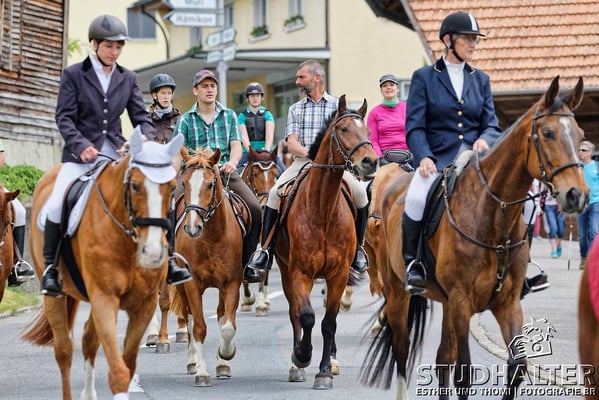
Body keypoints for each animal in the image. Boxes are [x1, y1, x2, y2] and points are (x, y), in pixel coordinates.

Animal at [21, 130, 183, 400]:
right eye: (135, 186)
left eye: (171, 187)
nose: (152, 252)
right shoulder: (105, 298)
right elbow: (118, 372)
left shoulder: (143, 305)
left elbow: (127, 365)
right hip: (57, 297)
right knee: (64, 351)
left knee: (88, 339)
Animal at [168, 146, 244, 387]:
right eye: (184, 183)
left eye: (211, 184)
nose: (192, 228)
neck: (211, 236)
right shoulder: (192, 284)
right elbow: (199, 326)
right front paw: (201, 372)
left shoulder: (231, 283)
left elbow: (228, 326)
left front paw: (226, 354)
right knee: (190, 318)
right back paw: (193, 362)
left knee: (220, 315)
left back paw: (222, 363)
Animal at [274, 95, 378, 389]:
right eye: (343, 129)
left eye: (367, 131)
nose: (370, 162)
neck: (323, 208)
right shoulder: (299, 272)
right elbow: (306, 316)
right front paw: (301, 356)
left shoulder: (338, 273)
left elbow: (329, 322)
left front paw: (323, 370)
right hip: (285, 271)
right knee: (295, 313)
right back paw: (297, 362)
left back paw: (331, 360)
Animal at [360, 76, 588, 399]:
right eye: (547, 133)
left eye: (580, 135)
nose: (576, 196)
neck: (492, 215)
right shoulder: (461, 301)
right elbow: (465, 373)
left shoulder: (507, 303)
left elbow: (516, 366)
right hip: (398, 293)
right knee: (402, 349)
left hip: (444, 302)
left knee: (442, 357)